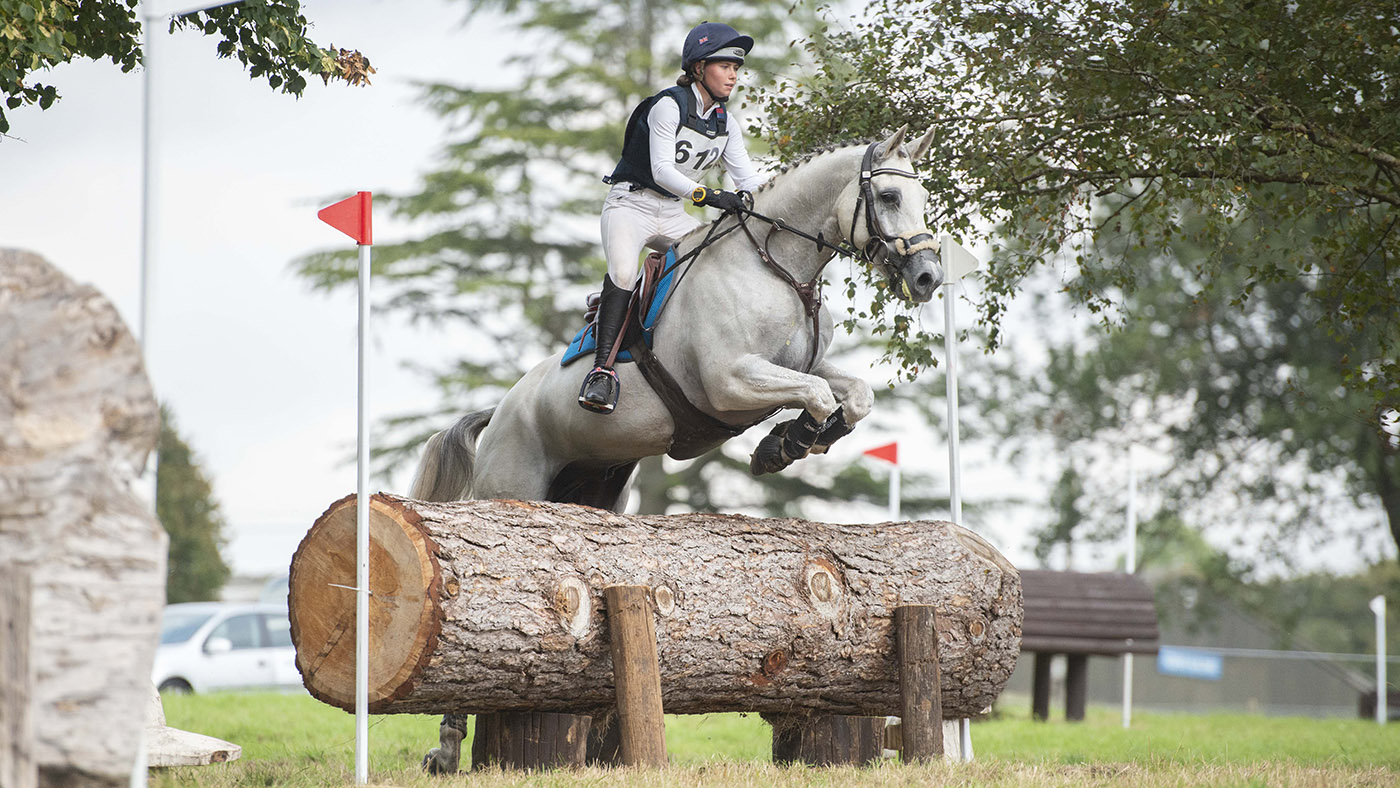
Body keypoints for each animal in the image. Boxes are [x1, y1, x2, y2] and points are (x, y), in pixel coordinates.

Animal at [408, 126, 944, 523]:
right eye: (889, 196)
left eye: (924, 197)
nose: (928, 277)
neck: (778, 268)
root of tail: (500, 410)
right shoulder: (730, 381)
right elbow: (816, 393)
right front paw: (784, 445)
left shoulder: (799, 363)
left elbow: (854, 395)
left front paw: (796, 440)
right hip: (513, 480)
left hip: (596, 485)